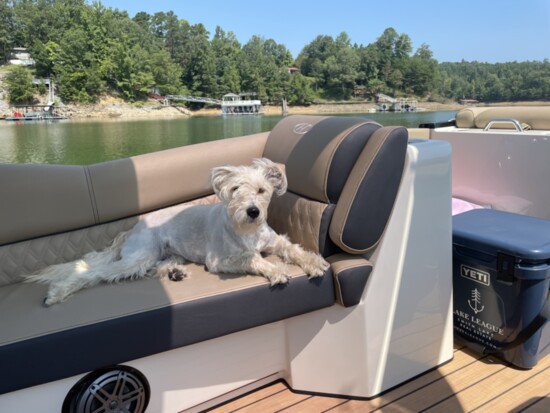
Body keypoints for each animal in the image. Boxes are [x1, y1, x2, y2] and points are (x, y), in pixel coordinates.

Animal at [28, 158, 330, 306]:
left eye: (261, 190)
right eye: (235, 189)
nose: (253, 211)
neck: (247, 231)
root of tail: (133, 228)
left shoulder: (274, 241)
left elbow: (292, 248)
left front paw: (314, 262)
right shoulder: (219, 260)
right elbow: (252, 258)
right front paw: (277, 270)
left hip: (168, 253)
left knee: (157, 267)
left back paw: (175, 273)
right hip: (140, 255)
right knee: (96, 273)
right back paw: (57, 293)